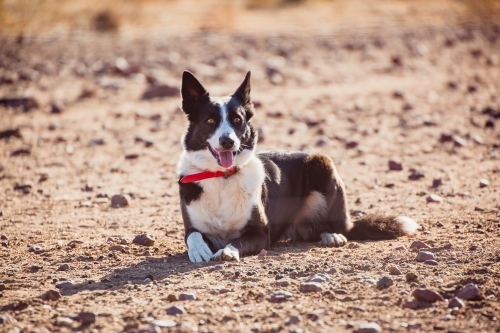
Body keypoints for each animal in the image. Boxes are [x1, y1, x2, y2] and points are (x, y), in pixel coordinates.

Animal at [177, 70, 418, 262]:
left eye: (237, 120)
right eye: (210, 121)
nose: (228, 142)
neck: (222, 177)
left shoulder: (260, 234)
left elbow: (238, 242)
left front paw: (227, 251)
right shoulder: (191, 228)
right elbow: (194, 236)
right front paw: (199, 250)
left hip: (322, 163)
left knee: (337, 227)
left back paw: (332, 235)